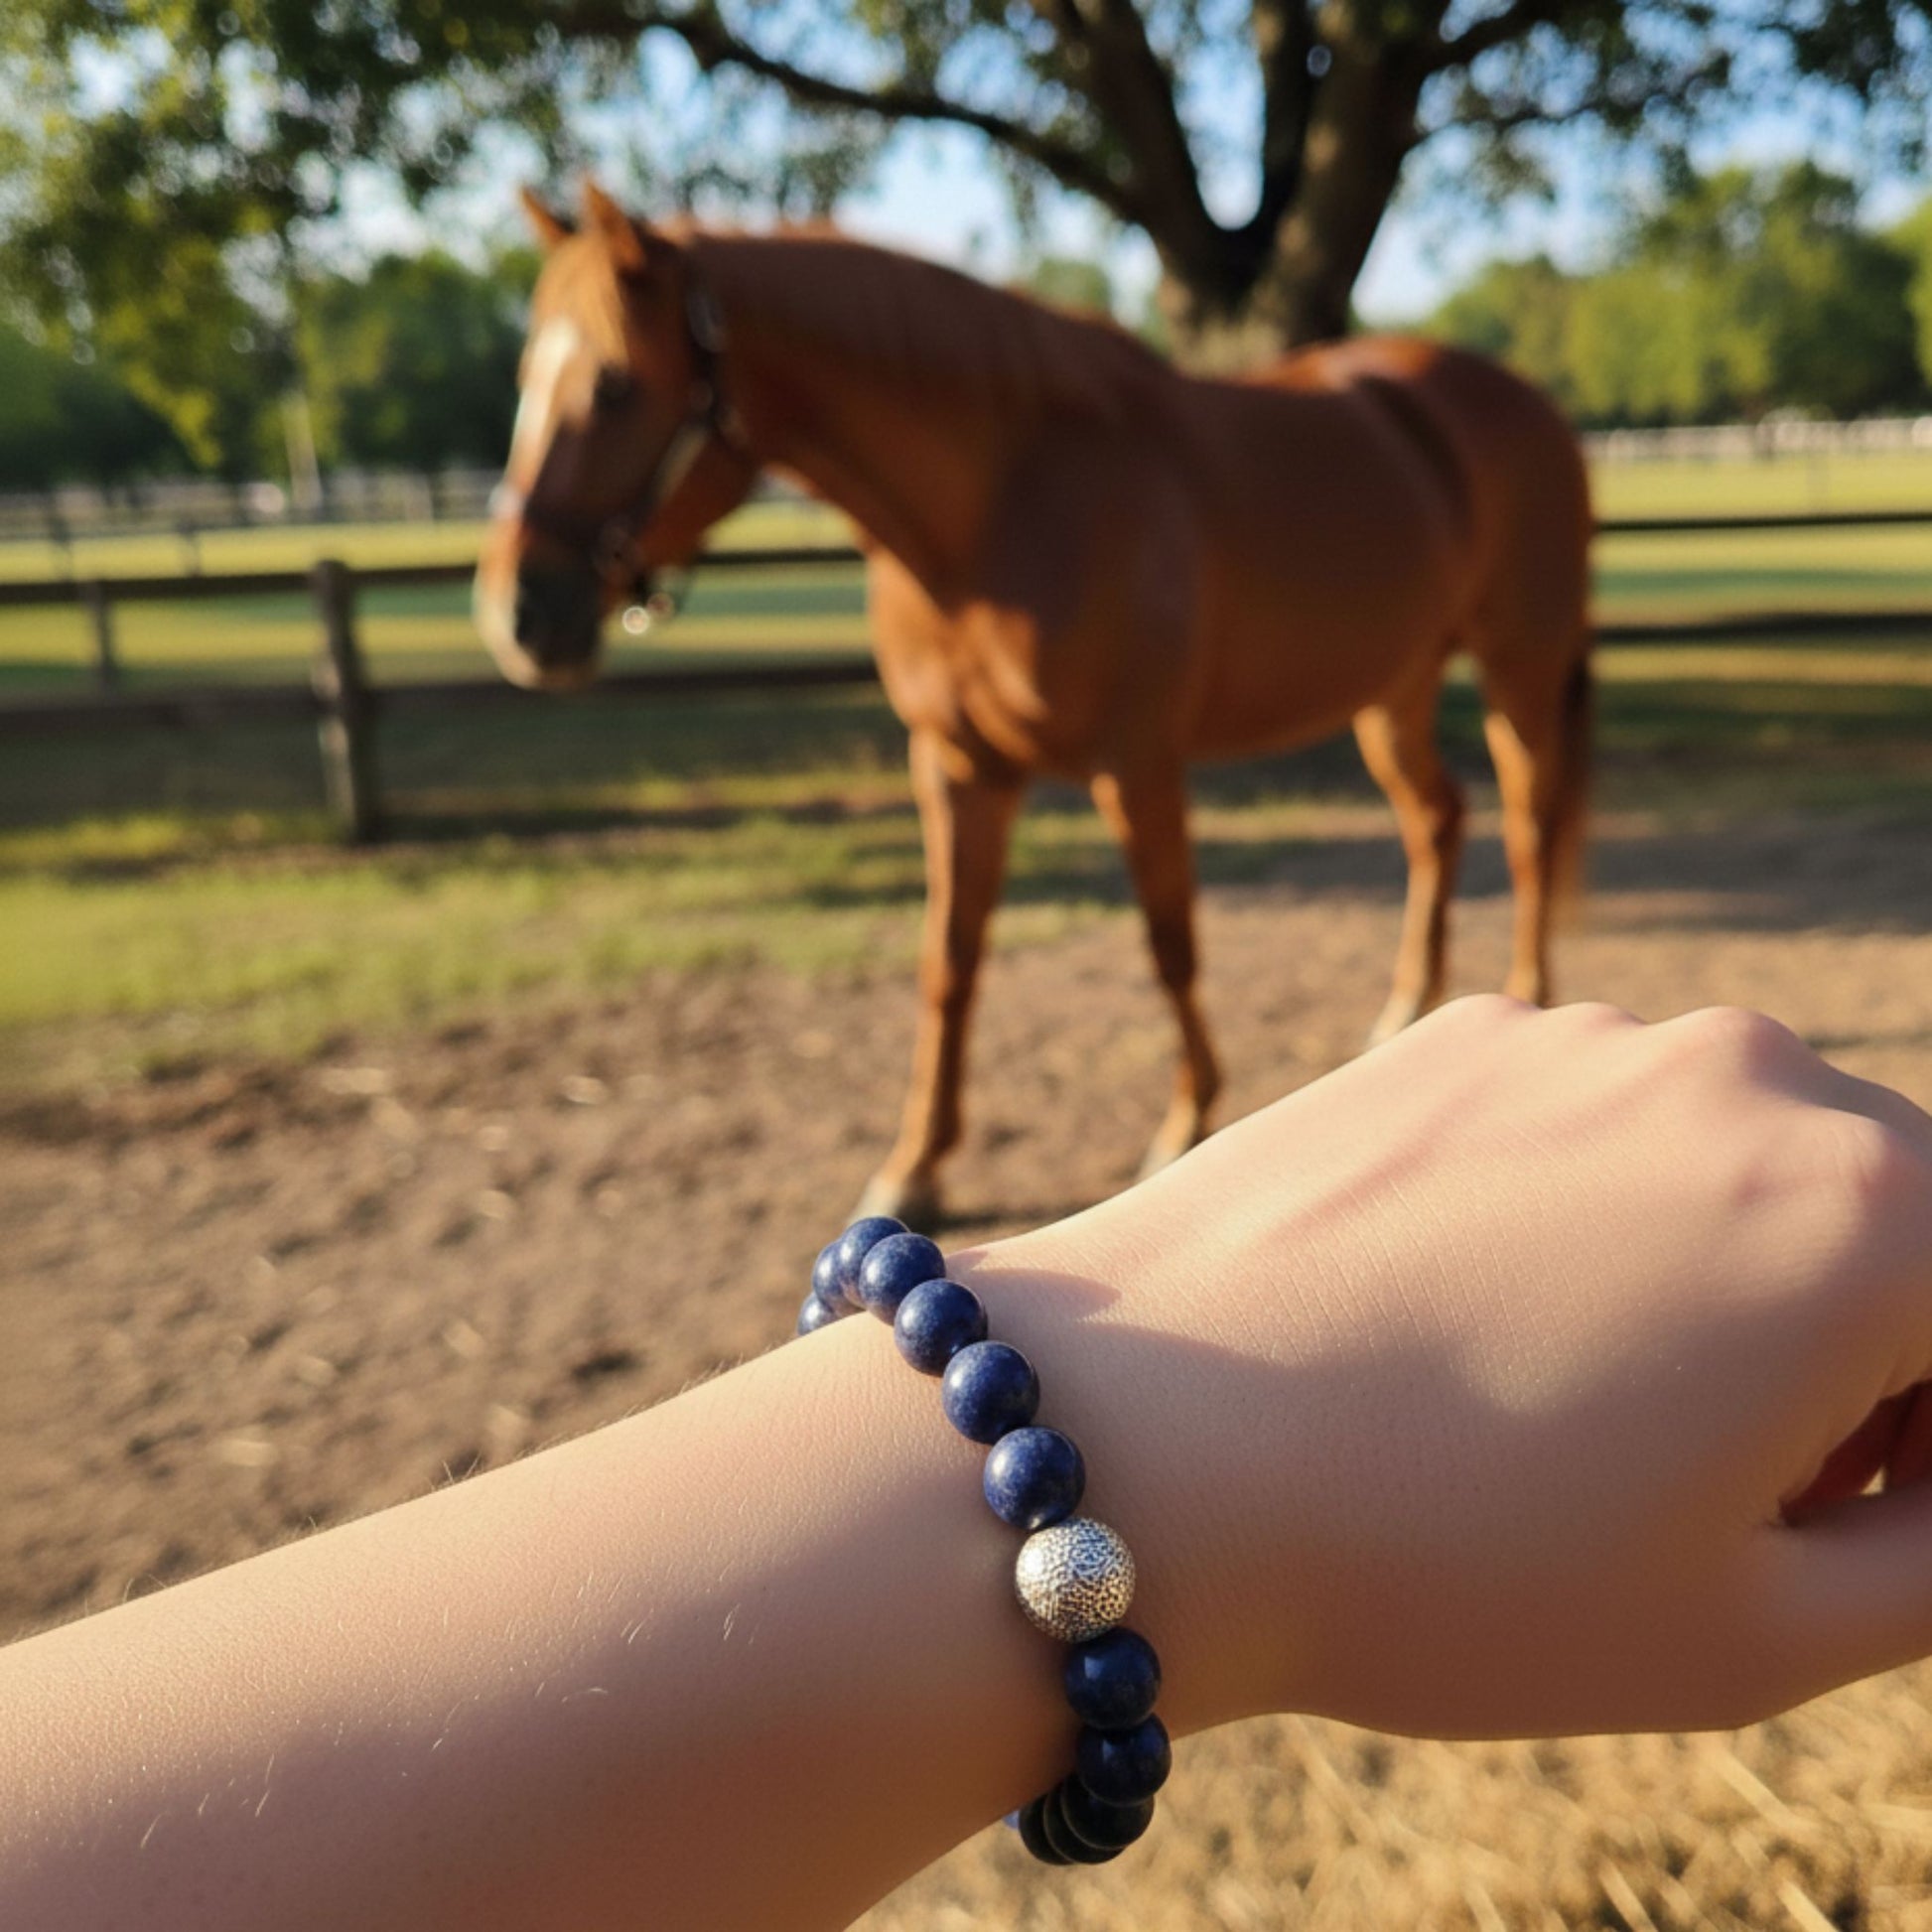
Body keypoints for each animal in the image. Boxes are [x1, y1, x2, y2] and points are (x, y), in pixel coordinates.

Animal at [475, 182, 1594, 1229]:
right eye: (523, 380)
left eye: (613, 383)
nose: (515, 614)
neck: (1001, 505)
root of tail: (1527, 405)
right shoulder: (957, 764)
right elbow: (950, 961)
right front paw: (915, 1167)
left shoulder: (1135, 766)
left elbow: (1169, 942)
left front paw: (1184, 1123)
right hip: (1392, 692)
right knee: (1436, 820)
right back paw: (1405, 1012)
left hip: (1517, 669)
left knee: (1528, 827)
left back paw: (1531, 1000)